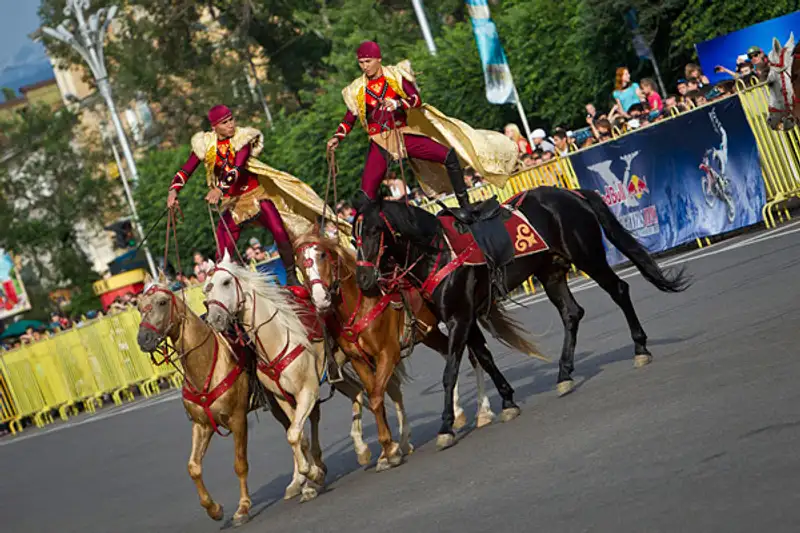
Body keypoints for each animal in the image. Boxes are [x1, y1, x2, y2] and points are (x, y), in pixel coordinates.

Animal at [294, 230, 494, 470]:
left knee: (473, 356)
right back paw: (458, 412)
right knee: (451, 355)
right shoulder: (359, 361)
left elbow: (376, 397)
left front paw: (390, 449)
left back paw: (483, 411)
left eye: (322, 255)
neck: (361, 306)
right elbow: (375, 396)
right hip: (430, 334)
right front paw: (387, 450)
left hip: (460, 320)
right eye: (299, 264)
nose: (320, 299)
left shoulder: (388, 354)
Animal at [356, 185, 688, 446]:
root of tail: (572, 194)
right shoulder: (467, 318)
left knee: (618, 290)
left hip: (588, 257)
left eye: (373, 231)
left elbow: (450, 372)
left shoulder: (458, 319)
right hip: (551, 271)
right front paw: (507, 400)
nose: (364, 280)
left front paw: (446, 426)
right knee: (572, 313)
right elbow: (485, 359)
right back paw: (564, 374)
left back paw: (640, 348)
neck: (438, 251)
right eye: (353, 238)